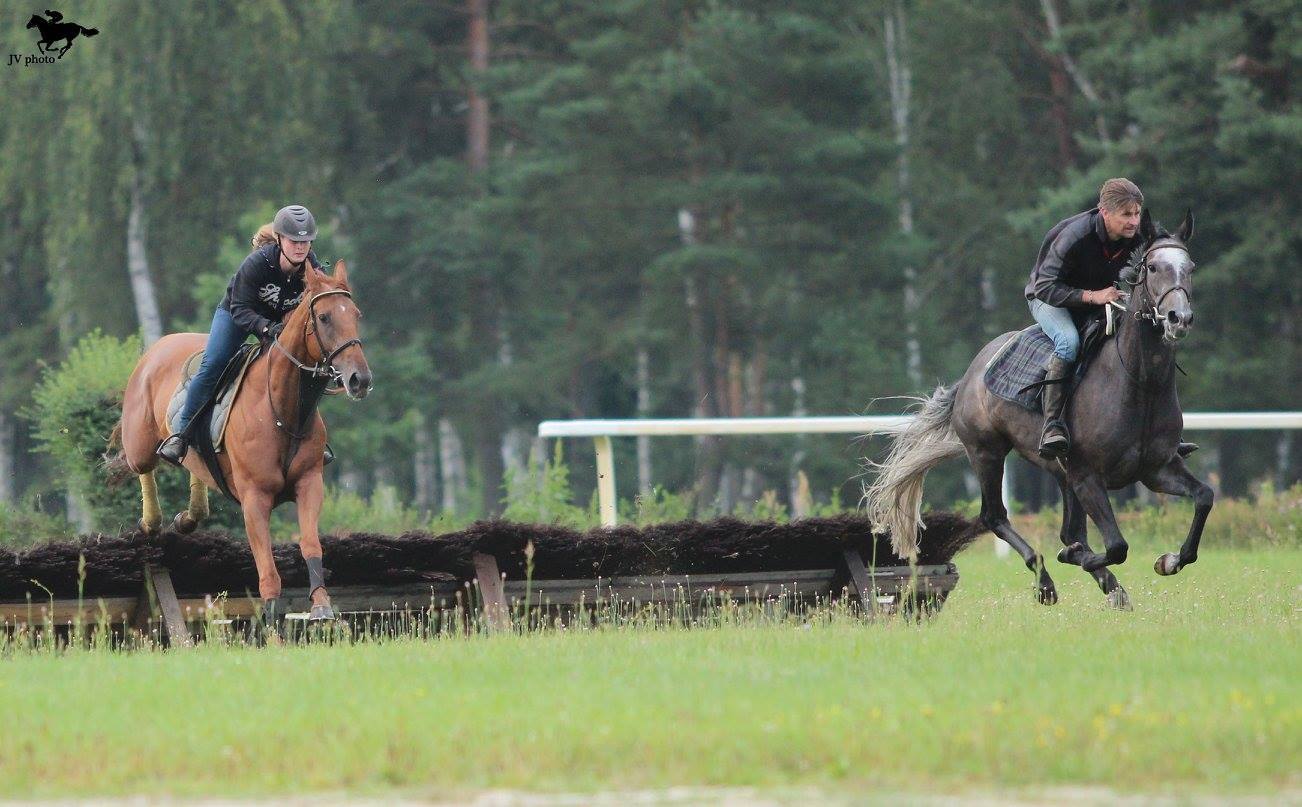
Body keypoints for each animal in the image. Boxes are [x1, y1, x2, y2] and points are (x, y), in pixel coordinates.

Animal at [110, 261, 372, 622]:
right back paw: (152, 522)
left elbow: (310, 542)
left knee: (195, 469)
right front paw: (272, 622)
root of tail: (156, 348)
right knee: (143, 467)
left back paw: (189, 516)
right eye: (324, 318)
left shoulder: (309, 482)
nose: (360, 379)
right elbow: (268, 570)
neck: (282, 410)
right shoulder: (254, 498)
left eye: (356, 314)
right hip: (139, 442)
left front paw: (321, 606)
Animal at [864, 210, 1208, 609]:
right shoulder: (1088, 475)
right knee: (995, 517)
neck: (1139, 381)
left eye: (1190, 267)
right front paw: (1079, 559)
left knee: (1068, 531)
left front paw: (1170, 560)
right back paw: (1046, 582)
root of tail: (970, 375)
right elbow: (1116, 546)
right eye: (1152, 267)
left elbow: (1204, 497)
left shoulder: (1156, 469)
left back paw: (1110, 587)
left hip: (1059, 473)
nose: (1178, 318)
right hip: (987, 452)